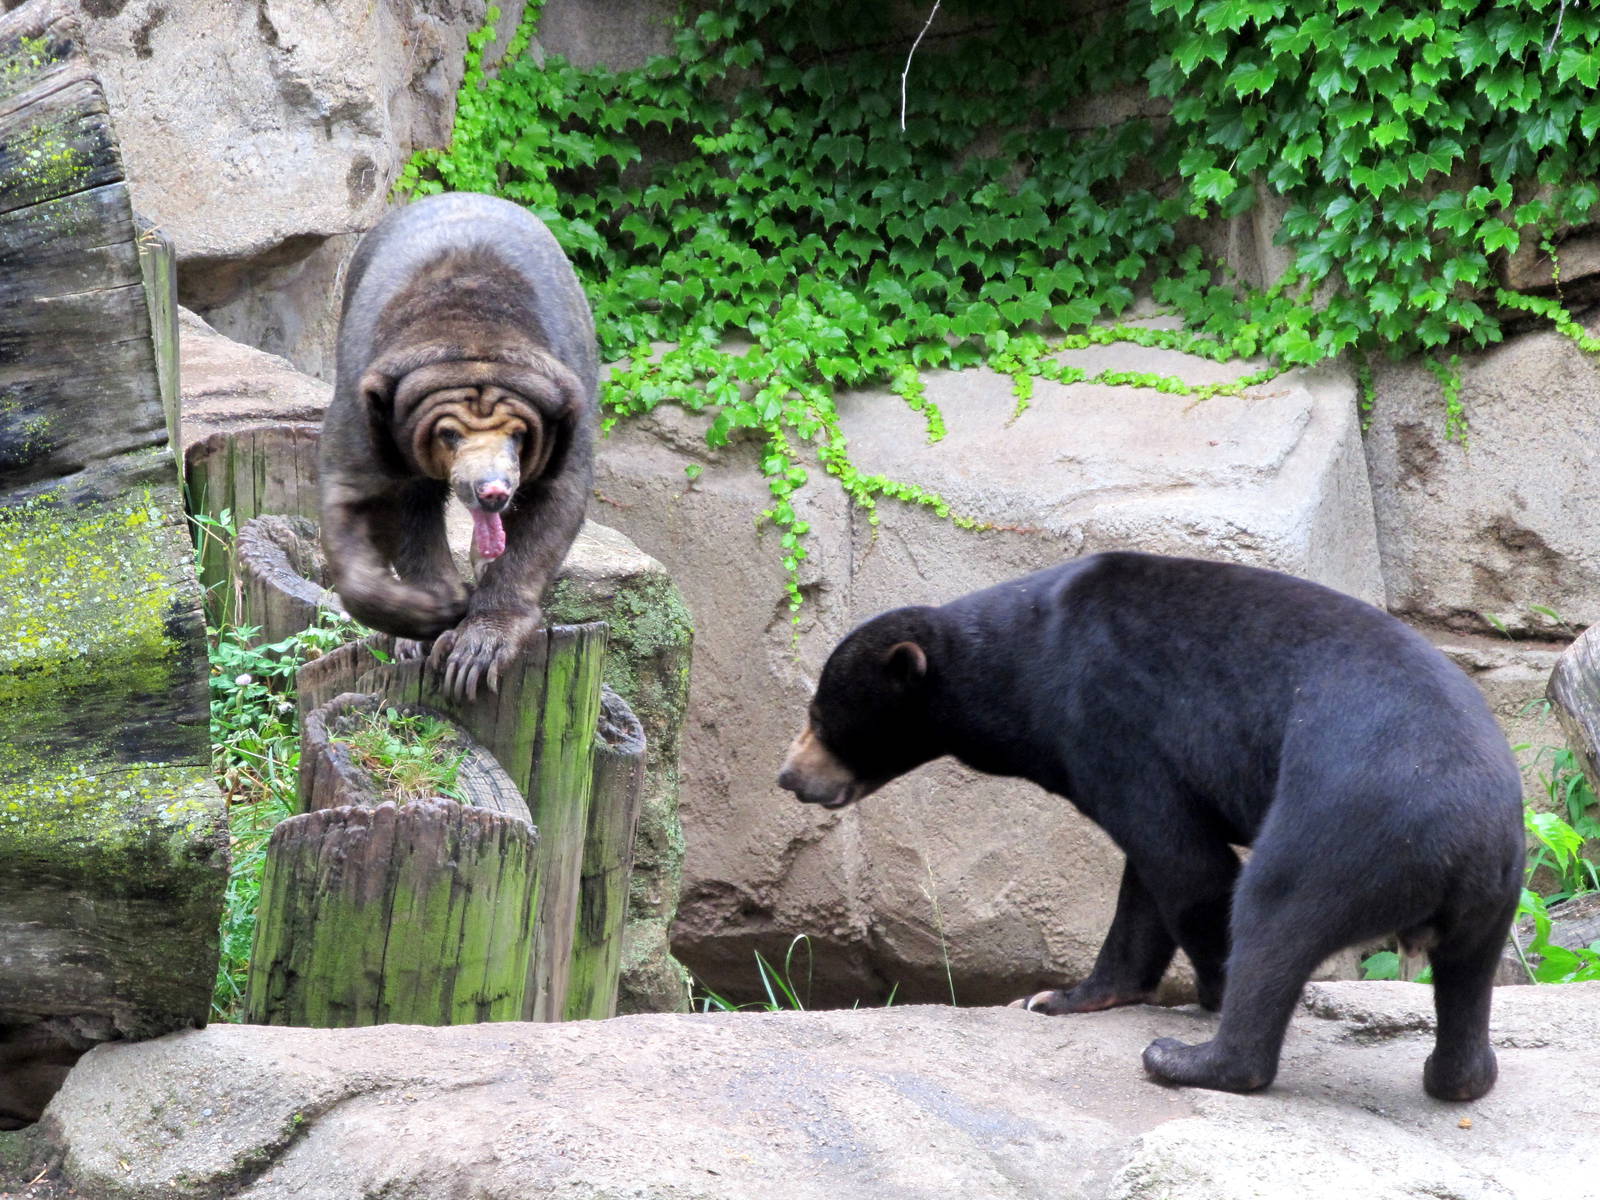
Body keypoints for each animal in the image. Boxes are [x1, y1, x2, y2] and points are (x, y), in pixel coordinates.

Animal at [320, 191, 598, 700]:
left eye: (519, 434)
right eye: (449, 434)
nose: (493, 490)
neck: (473, 338)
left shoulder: (570, 405)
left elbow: (555, 504)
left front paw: (478, 648)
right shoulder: (364, 405)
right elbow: (351, 494)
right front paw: (437, 609)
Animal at [777, 551, 1524, 1099]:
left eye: (818, 716)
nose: (788, 778)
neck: (1017, 665)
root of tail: (1467, 842)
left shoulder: (1112, 720)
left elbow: (1185, 864)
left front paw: (1195, 994)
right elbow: (1144, 883)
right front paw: (1058, 995)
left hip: (1345, 826)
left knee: (1276, 915)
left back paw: (1186, 1058)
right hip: (1498, 890)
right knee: (1468, 973)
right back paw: (1461, 1076)